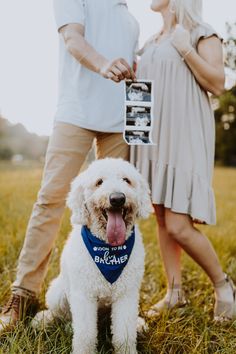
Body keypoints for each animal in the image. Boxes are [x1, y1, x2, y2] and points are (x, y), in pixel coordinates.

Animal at [32, 158, 152, 354]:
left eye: (126, 180)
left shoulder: (126, 294)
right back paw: (47, 320)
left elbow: (124, 333)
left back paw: (138, 324)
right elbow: (85, 335)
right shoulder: (83, 295)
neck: (108, 251)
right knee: (60, 315)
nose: (117, 198)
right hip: (58, 293)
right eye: (99, 182)